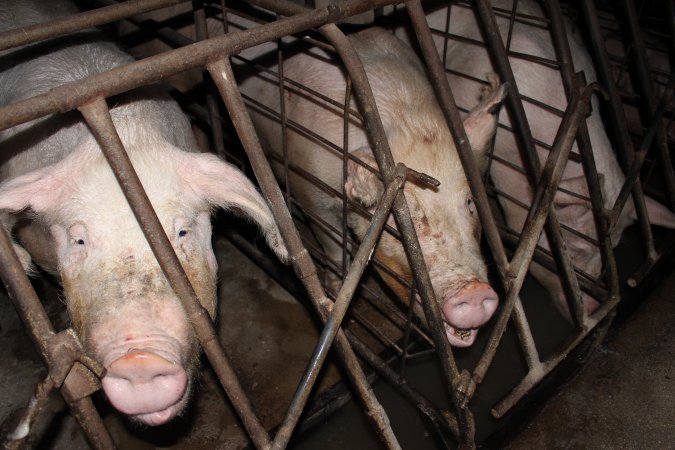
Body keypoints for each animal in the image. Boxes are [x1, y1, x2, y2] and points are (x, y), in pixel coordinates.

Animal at [238, 25, 508, 348]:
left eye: (469, 203)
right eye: (400, 217)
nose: (475, 293)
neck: (408, 118)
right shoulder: (310, 191)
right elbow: (333, 241)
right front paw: (336, 287)